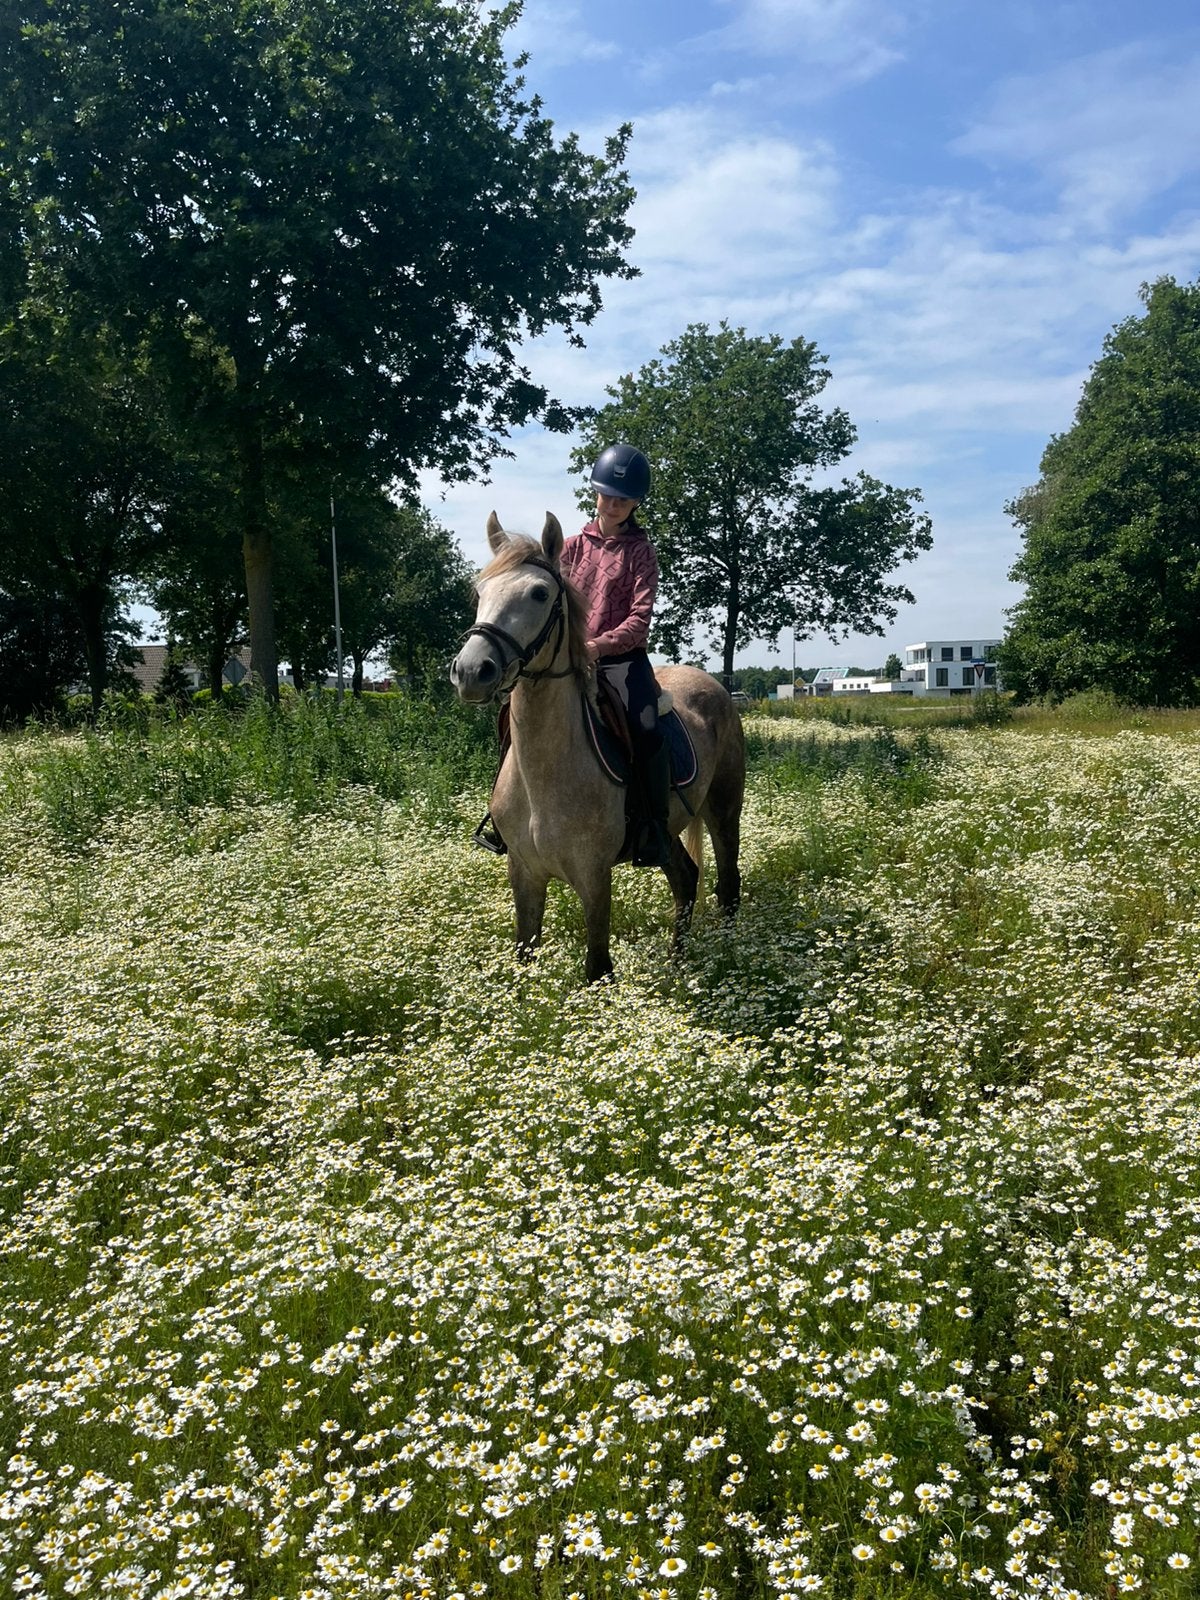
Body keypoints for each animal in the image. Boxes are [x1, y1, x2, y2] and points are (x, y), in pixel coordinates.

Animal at [451, 511, 744, 982]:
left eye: (539, 593)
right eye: (481, 592)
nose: (472, 671)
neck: (545, 772)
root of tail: (714, 685)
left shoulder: (593, 877)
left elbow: (597, 969)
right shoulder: (524, 872)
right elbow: (524, 952)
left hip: (724, 808)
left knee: (728, 884)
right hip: (667, 833)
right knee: (686, 878)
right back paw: (677, 964)